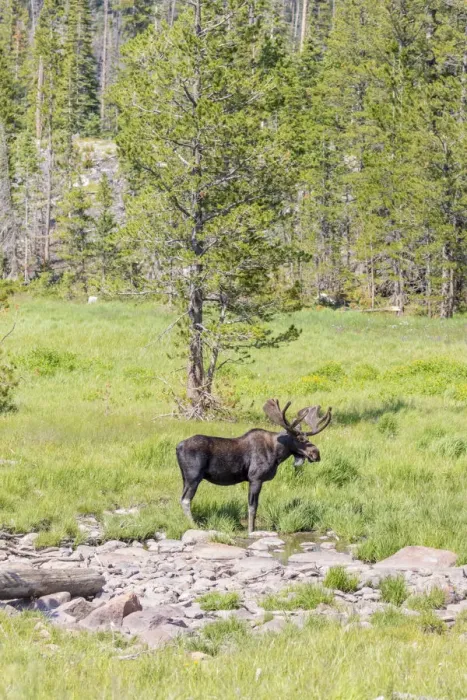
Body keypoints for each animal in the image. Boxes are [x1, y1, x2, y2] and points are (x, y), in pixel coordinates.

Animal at [175, 400, 332, 534]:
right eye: (300, 439)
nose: (316, 454)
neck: (277, 454)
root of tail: (178, 447)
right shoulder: (255, 478)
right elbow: (252, 507)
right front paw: (251, 530)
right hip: (194, 476)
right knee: (185, 500)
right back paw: (194, 525)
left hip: (184, 477)